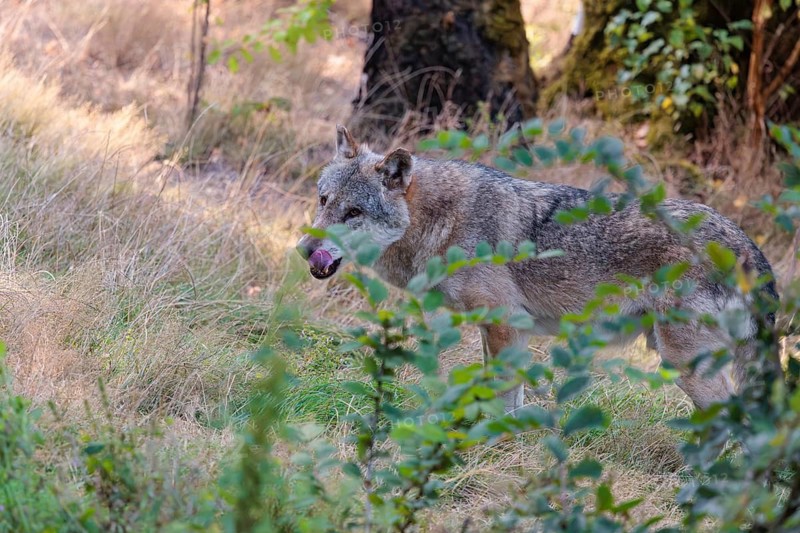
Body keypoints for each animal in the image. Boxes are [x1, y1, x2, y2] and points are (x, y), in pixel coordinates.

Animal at [296, 125, 780, 414]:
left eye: (354, 213)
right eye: (324, 201)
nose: (304, 249)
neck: (442, 220)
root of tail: (749, 248)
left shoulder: (503, 323)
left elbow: (502, 395)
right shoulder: (503, 329)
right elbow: (508, 395)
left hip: (681, 361)